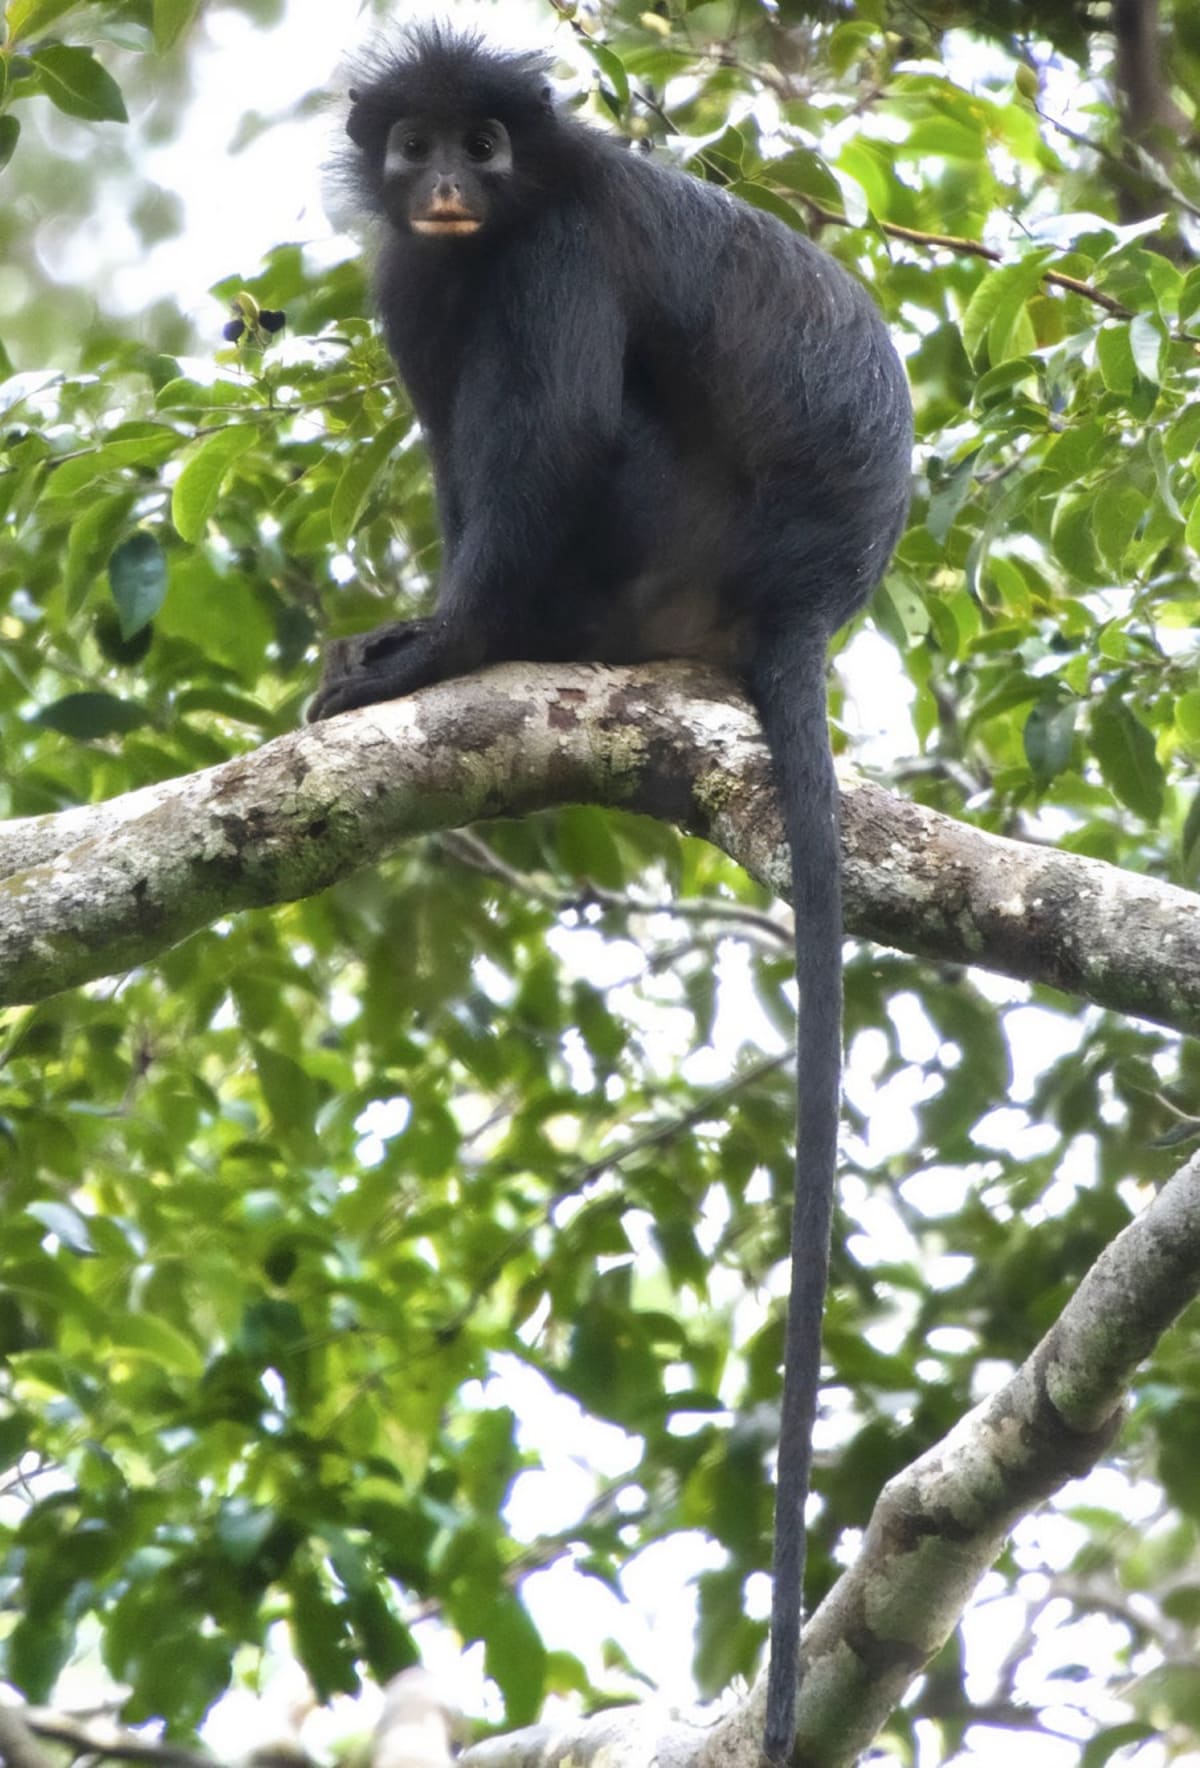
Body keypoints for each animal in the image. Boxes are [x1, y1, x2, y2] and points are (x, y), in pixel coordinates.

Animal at [307, 26, 912, 1760]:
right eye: (423, 143)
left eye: (490, 145)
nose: (448, 183)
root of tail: (800, 602)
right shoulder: (412, 273)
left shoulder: (555, 251)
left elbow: (551, 434)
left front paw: (434, 652)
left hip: (658, 541)